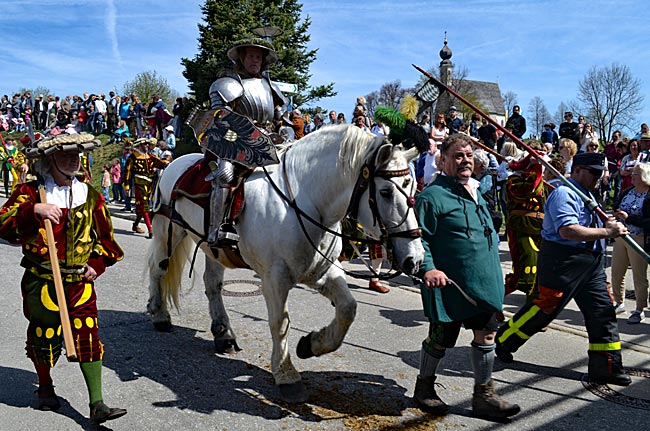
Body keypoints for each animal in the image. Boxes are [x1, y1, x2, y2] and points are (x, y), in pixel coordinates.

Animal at [144, 124, 422, 402]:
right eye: (385, 192)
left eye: (412, 192)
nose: (415, 259)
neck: (304, 199)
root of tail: (174, 163)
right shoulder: (274, 278)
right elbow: (280, 323)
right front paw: (286, 374)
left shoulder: (323, 271)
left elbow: (347, 309)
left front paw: (311, 345)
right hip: (168, 231)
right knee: (159, 268)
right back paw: (160, 315)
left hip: (214, 249)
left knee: (213, 284)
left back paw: (224, 333)